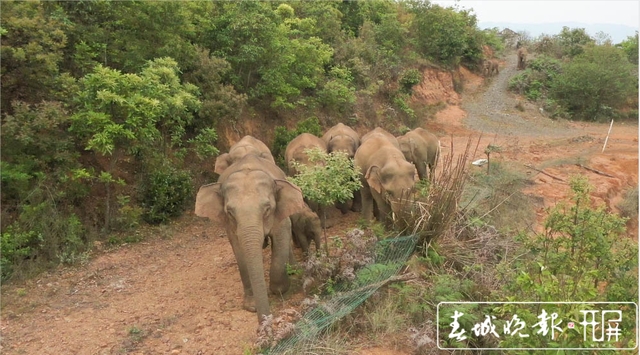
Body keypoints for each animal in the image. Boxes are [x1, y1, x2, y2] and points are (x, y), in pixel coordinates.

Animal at [194, 155, 306, 322]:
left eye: (267, 209)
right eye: (230, 212)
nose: (264, 321)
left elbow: (282, 234)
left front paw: (279, 289)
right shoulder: (230, 226)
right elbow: (239, 252)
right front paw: (251, 306)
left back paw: (294, 269)